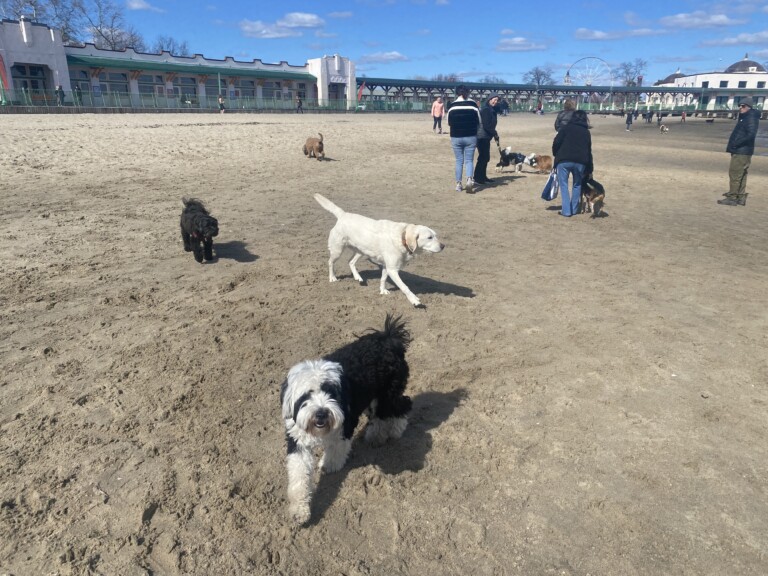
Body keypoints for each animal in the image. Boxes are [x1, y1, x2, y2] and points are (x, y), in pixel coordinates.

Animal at [280, 312, 412, 524]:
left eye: (330, 392)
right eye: (306, 395)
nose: (321, 413)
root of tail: (388, 338)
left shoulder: (346, 423)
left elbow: (337, 449)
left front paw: (329, 464)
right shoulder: (298, 442)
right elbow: (299, 477)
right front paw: (299, 510)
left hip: (388, 394)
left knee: (402, 406)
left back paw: (395, 430)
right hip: (373, 397)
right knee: (380, 416)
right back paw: (376, 435)